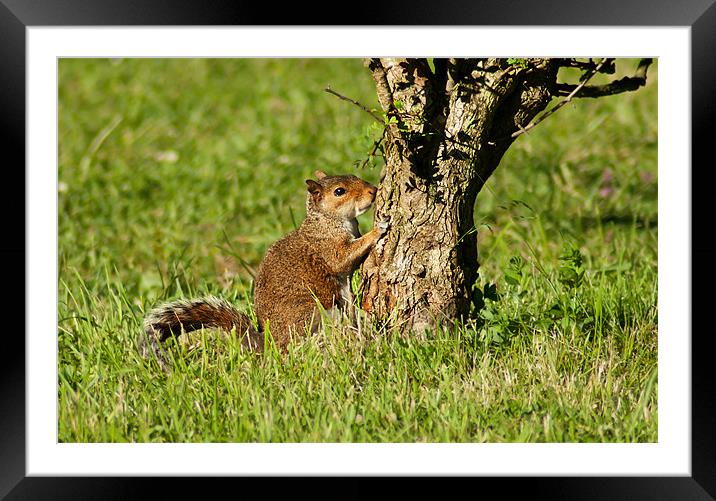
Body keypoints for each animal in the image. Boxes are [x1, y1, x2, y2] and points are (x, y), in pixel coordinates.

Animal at [142, 169, 388, 368]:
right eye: (339, 192)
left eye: (354, 175)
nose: (373, 190)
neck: (328, 219)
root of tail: (270, 343)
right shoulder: (327, 247)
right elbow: (343, 258)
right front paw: (378, 229)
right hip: (311, 311)